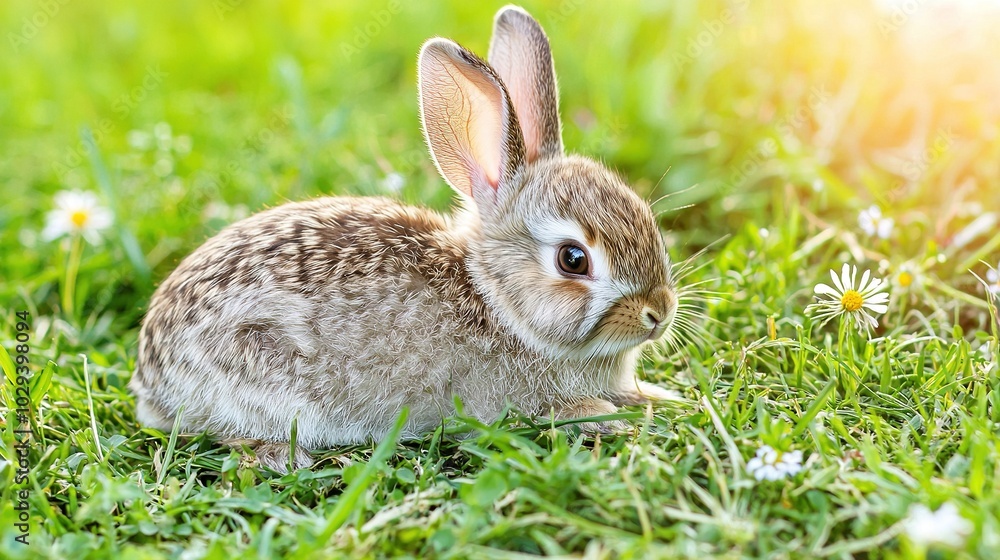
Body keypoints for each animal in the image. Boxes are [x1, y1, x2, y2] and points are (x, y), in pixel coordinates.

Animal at [130, 5, 678, 473]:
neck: (497, 302)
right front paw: (609, 415)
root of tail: (151, 378)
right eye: (573, 259)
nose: (658, 313)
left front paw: (660, 396)